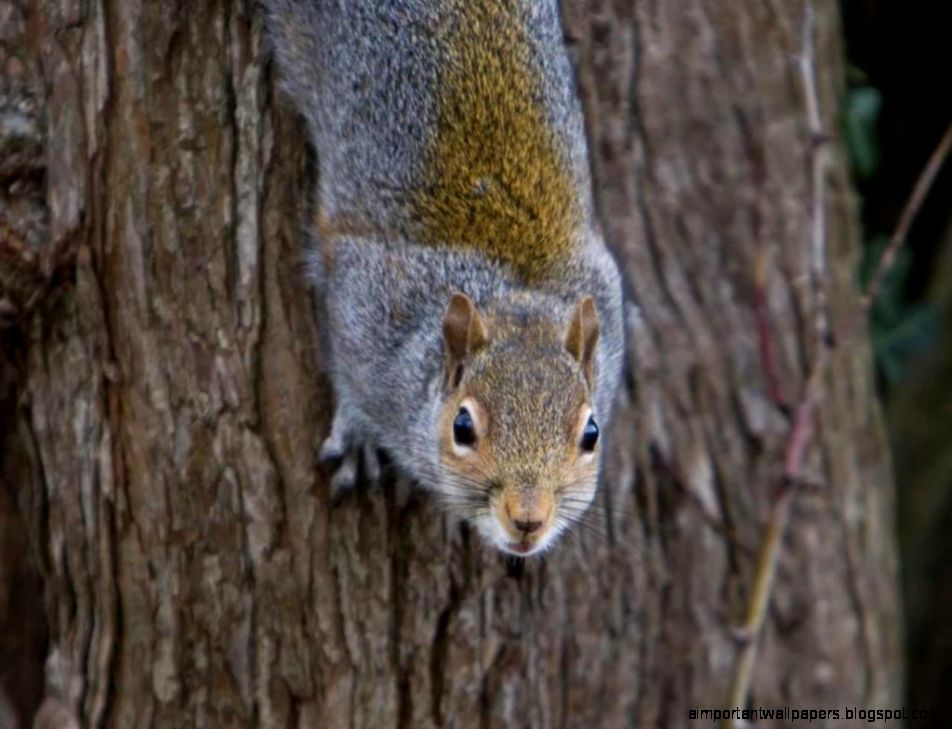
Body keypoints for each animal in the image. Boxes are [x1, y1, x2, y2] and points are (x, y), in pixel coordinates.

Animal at [264, 0, 625, 556]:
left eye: (591, 434)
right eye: (462, 426)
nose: (528, 520)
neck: (513, 292)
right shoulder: (366, 300)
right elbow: (345, 366)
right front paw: (358, 433)